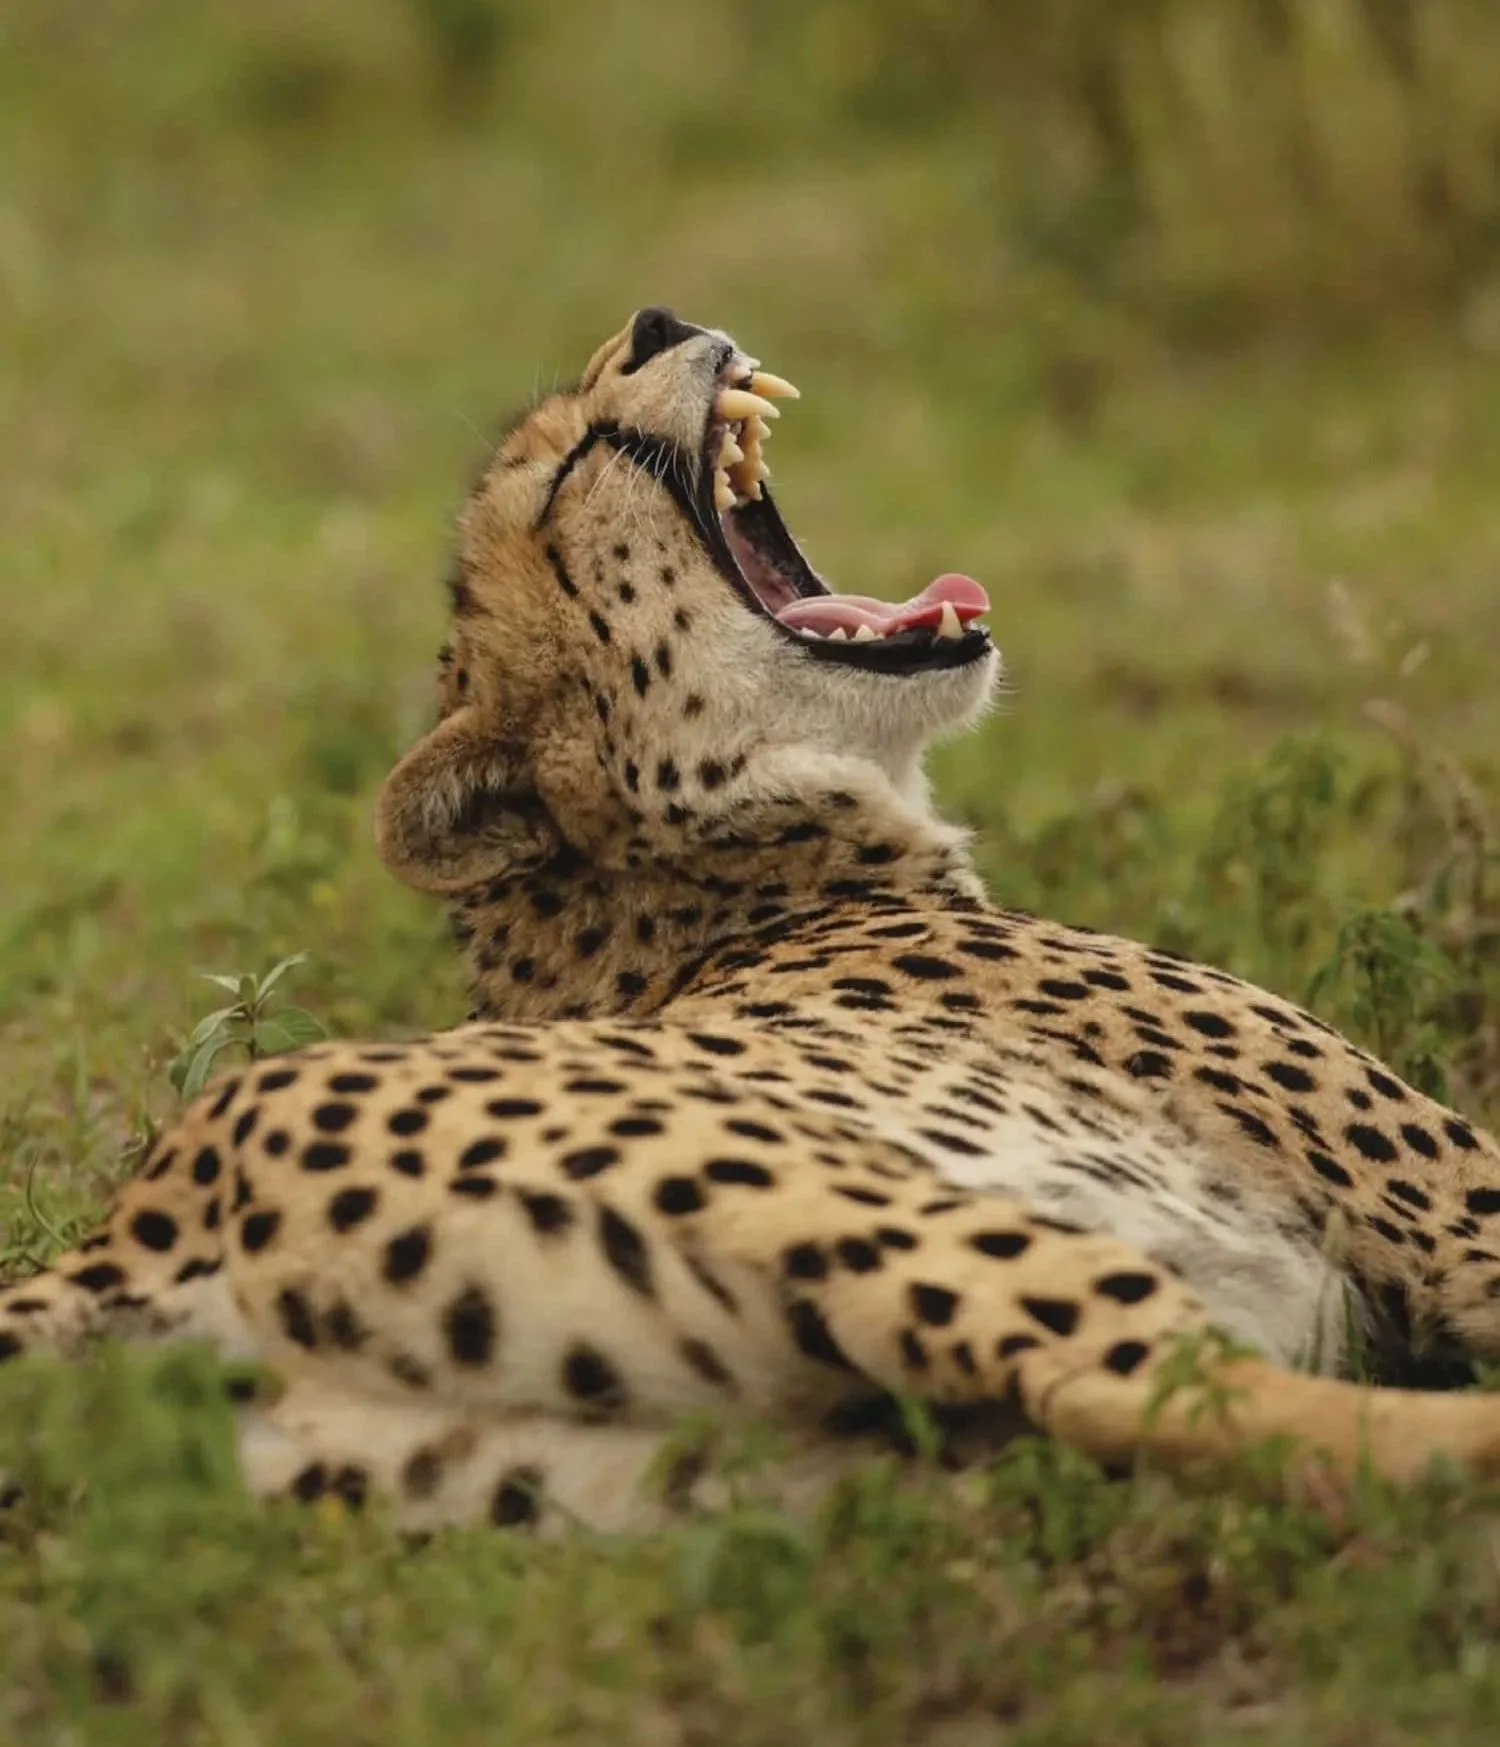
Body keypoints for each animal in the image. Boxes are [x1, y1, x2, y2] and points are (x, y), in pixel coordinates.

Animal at [6, 304, 1500, 1536]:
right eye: (572, 468)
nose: (658, 318)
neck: (733, 875)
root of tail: (133, 1221)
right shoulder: (1441, 1205)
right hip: (875, 1203)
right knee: (1187, 1390)